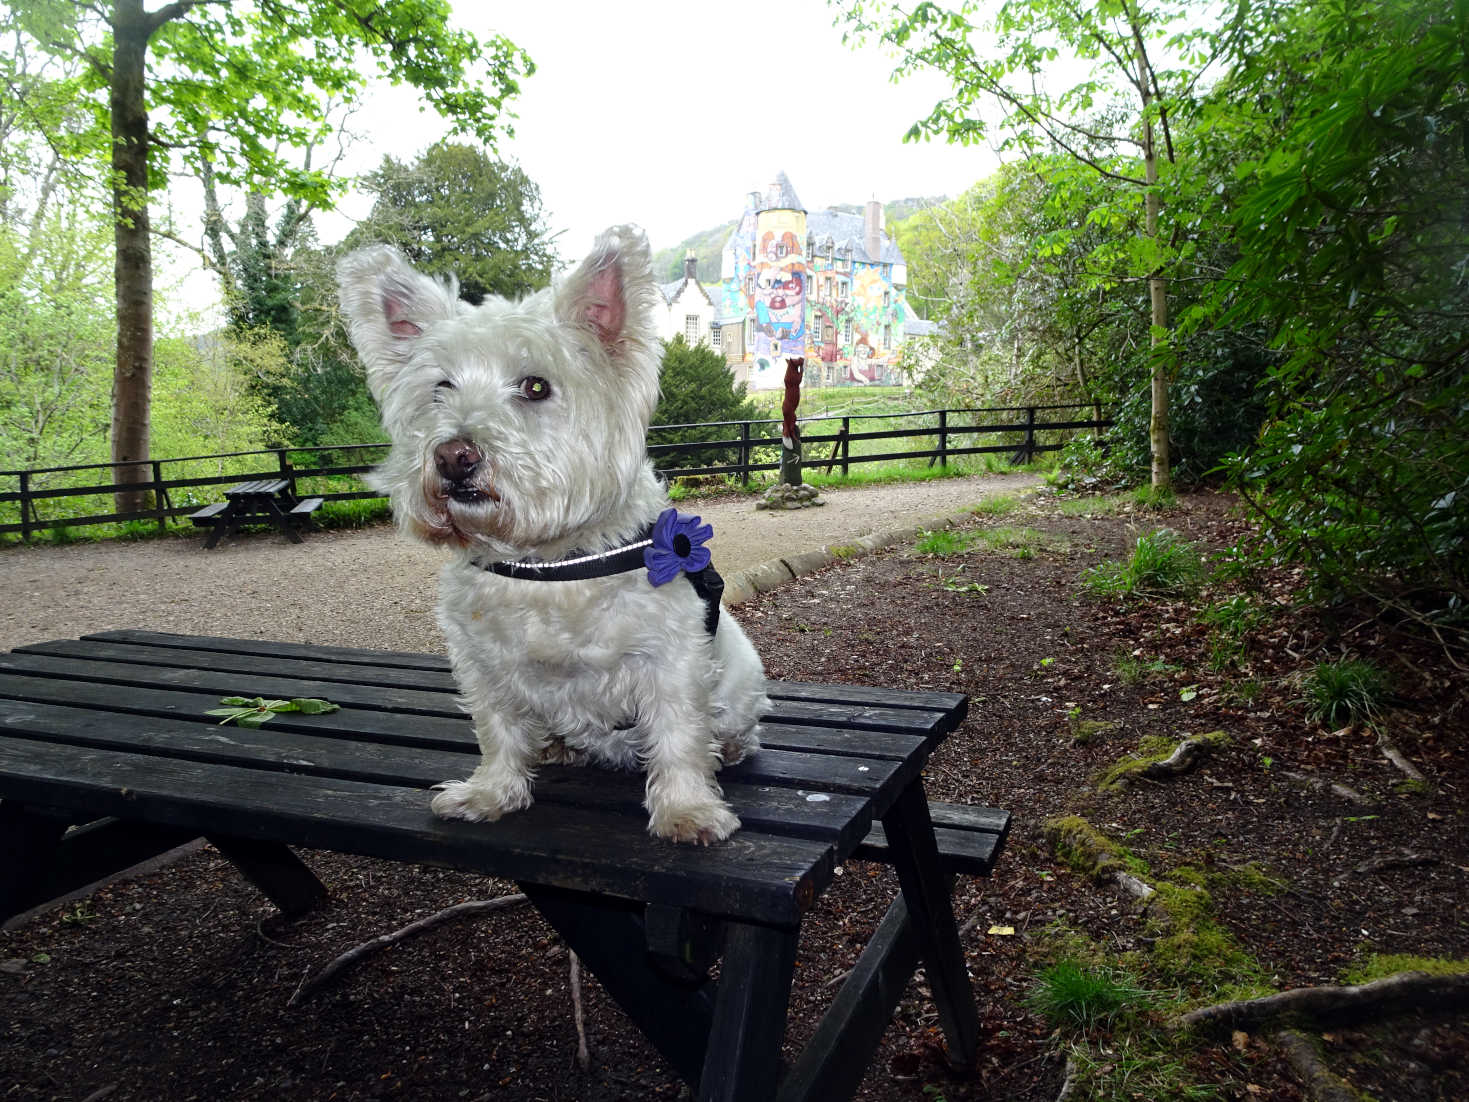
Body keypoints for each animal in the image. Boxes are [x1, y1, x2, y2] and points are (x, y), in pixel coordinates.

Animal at [336, 224, 769, 846]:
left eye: (536, 386)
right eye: (440, 387)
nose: (453, 456)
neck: (547, 563)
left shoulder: (671, 660)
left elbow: (679, 735)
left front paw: (687, 811)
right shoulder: (483, 664)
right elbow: (496, 731)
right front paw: (490, 793)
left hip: (740, 685)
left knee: (732, 726)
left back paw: (728, 749)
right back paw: (558, 747)